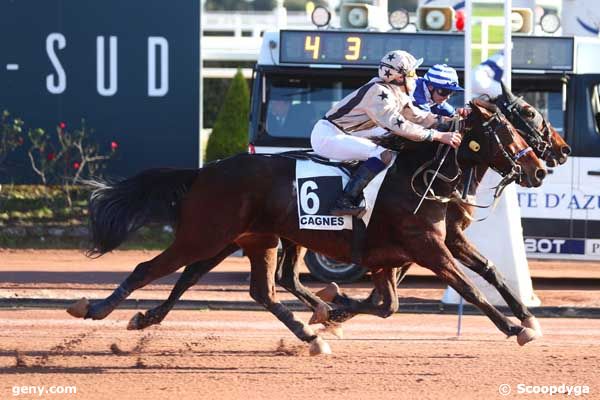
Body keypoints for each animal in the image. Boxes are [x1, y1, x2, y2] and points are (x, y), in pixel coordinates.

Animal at [68, 99, 548, 354]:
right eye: (507, 131)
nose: (541, 168)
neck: (421, 175)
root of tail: (205, 170)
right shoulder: (427, 248)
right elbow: (466, 286)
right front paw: (515, 327)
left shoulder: (414, 250)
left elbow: (479, 274)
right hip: (206, 235)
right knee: (150, 268)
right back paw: (96, 308)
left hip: (250, 239)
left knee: (252, 288)